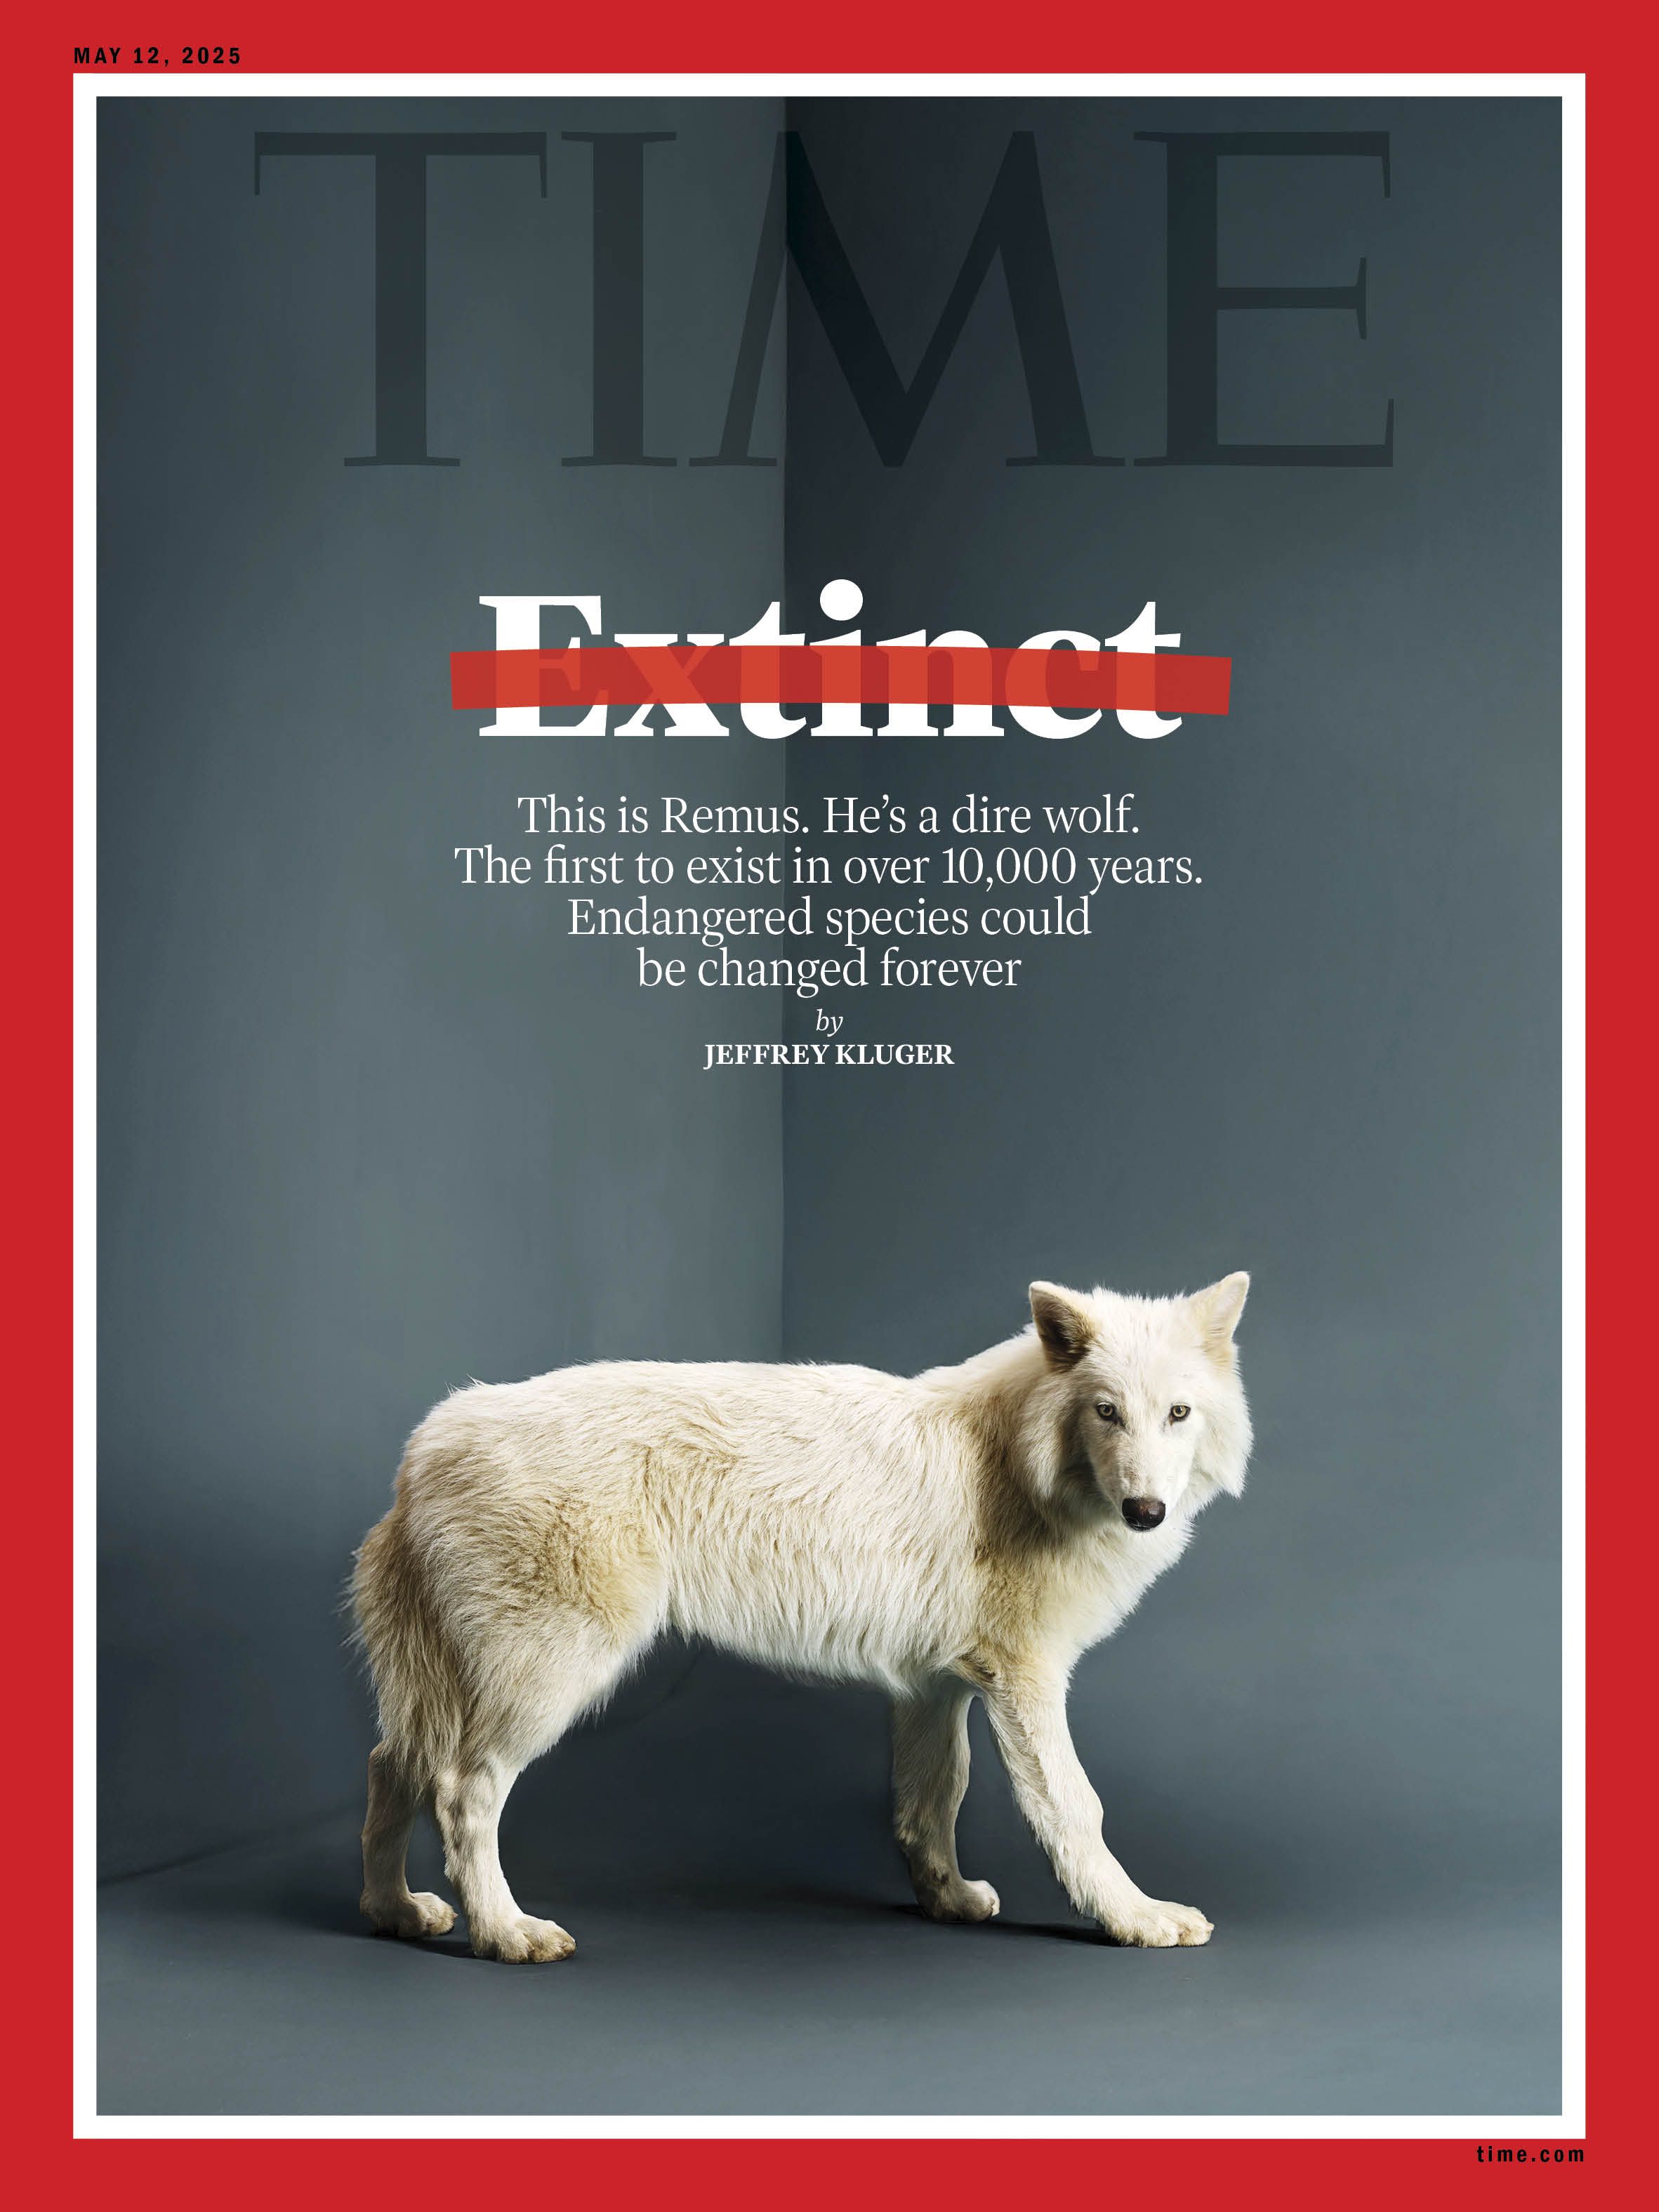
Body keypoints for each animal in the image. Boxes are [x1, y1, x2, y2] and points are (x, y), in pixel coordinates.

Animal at [352, 1272, 1251, 1962]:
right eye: (1106, 1412)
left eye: (1176, 1414)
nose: (1145, 1511)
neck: (1019, 1462)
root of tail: (426, 1443)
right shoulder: (1024, 1681)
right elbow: (1075, 1808)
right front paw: (1135, 1919)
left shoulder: (935, 1689)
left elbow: (932, 1802)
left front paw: (948, 1900)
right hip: (549, 1680)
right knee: (460, 1791)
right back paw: (505, 1933)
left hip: (447, 1688)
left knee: (389, 1765)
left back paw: (394, 1913)